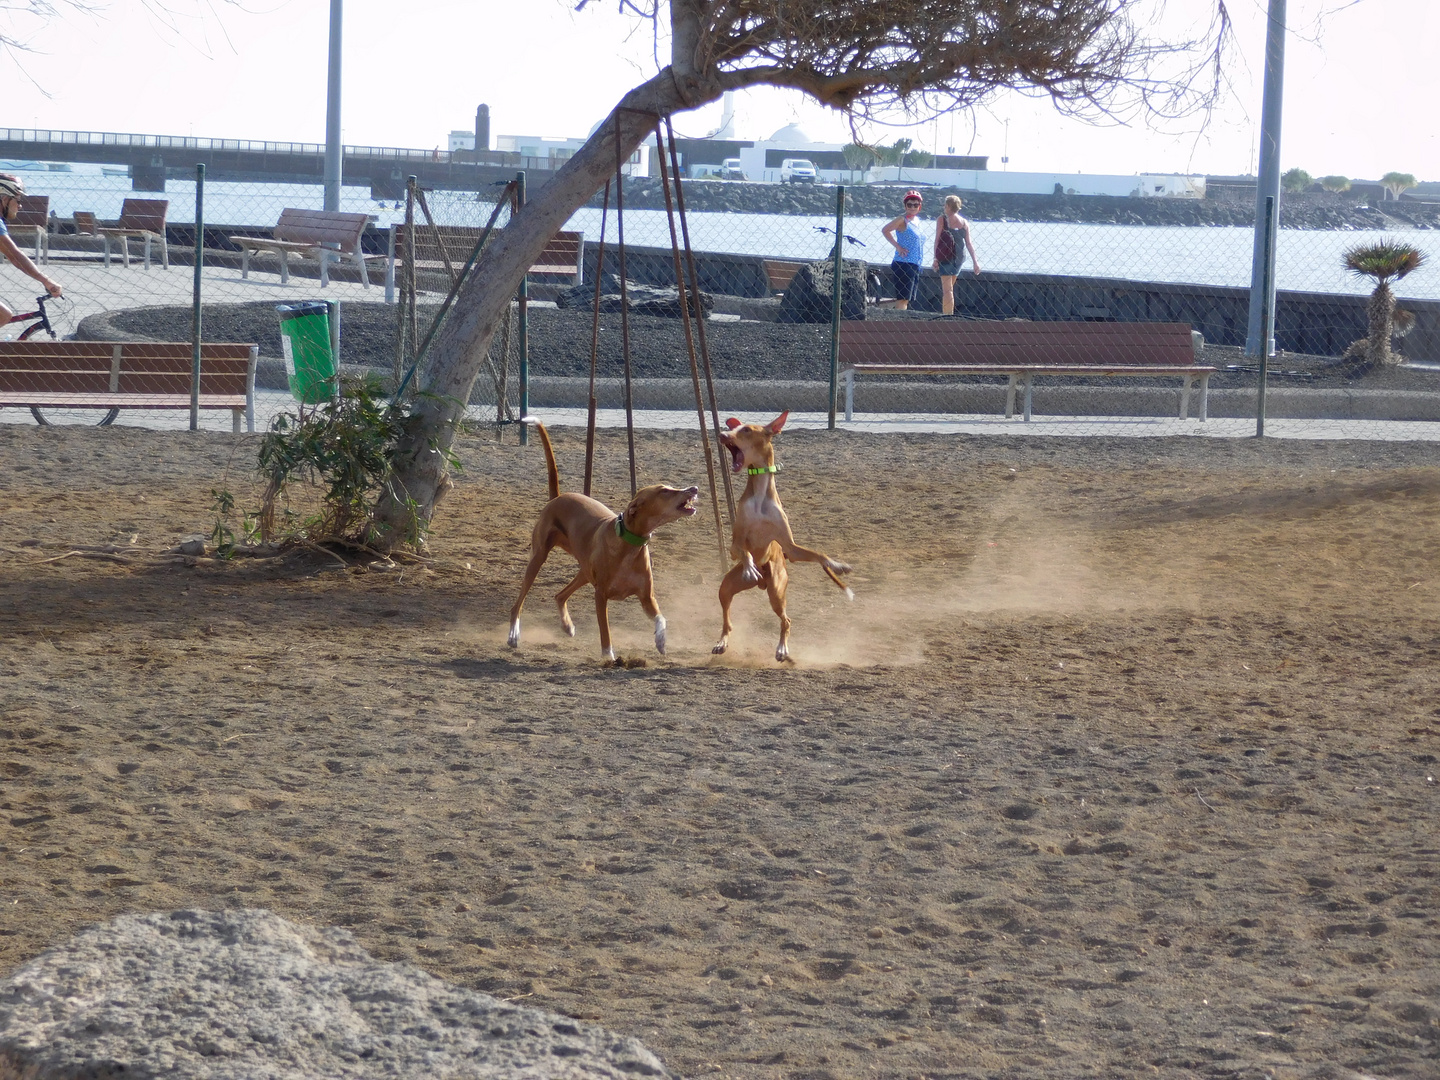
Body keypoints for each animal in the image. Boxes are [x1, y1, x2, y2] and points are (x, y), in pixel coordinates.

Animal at [509, 426, 699, 665]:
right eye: (664, 490)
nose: (694, 487)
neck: (630, 545)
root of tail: (557, 498)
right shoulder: (600, 596)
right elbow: (605, 630)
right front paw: (609, 656)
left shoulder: (647, 597)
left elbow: (661, 618)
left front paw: (661, 641)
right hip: (537, 558)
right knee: (518, 603)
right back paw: (514, 634)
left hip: (584, 572)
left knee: (560, 595)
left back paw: (567, 626)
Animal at [711, 414, 846, 665]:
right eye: (732, 427)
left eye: (746, 430)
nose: (722, 435)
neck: (760, 497)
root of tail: (762, 584)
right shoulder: (734, 545)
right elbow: (744, 552)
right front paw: (750, 566)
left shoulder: (790, 547)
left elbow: (818, 554)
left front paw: (837, 564)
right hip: (727, 587)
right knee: (727, 620)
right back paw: (722, 642)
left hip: (777, 589)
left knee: (786, 620)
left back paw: (782, 650)